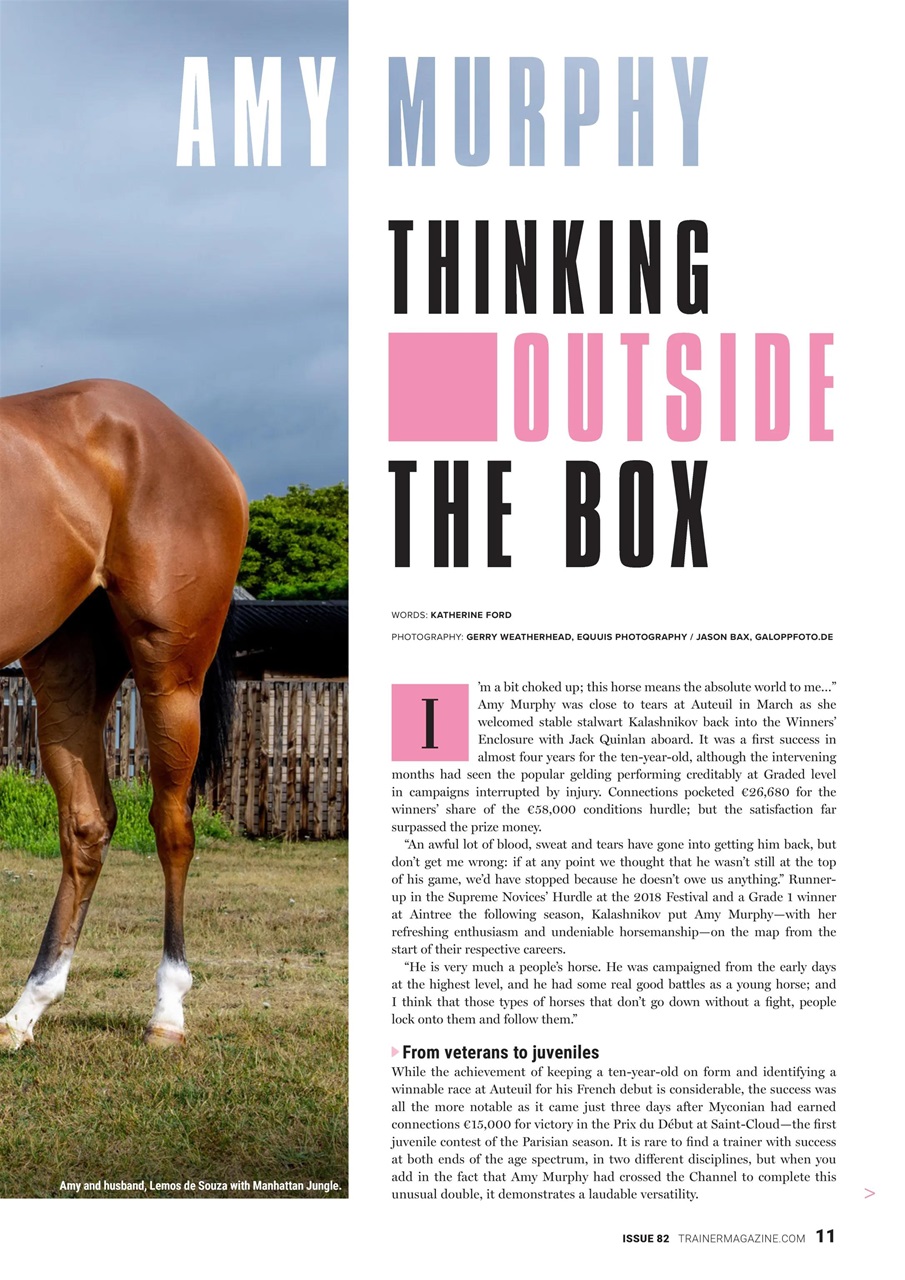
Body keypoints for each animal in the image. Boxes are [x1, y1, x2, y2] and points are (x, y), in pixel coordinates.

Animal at [0, 380, 248, 1051]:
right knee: (88, 826)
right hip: (65, 676)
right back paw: (27, 1009)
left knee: (172, 828)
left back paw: (168, 1012)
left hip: (170, 679)